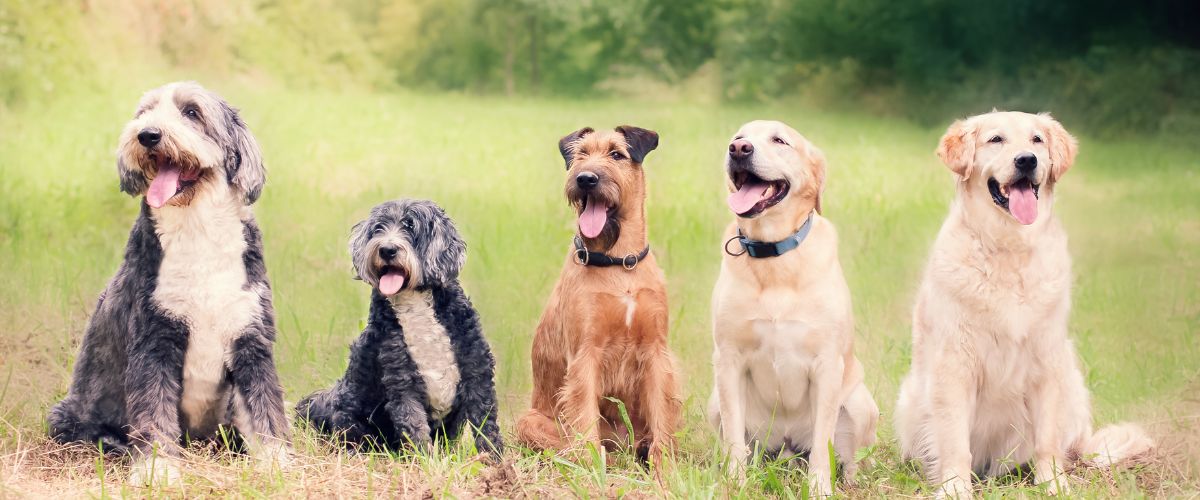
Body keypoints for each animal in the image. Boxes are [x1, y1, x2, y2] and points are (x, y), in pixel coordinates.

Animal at [47, 80, 292, 484]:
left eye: (192, 112)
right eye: (144, 113)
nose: (147, 135)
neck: (198, 230)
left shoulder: (250, 338)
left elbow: (265, 406)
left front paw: (276, 462)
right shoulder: (154, 340)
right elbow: (154, 412)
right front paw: (157, 470)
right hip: (66, 415)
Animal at [300, 199, 506, 455]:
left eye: (410, 226)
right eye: (378, 228)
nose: (387, 249)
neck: (414, 303)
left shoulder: (477, 370)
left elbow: (485, 423)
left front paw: (495, 459)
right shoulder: (402, 382)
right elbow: (414, 427)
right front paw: (426, 461)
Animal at [516, 123, 686, 467]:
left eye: (616, 154)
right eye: (581, 154)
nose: (585, 179)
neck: (619, 264)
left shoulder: (656, 352)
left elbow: (662, 420)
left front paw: (665, 469)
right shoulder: (586, 354)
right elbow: (584, 419)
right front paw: (592, 468)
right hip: (529, 421)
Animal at [700, 121, 883, 494]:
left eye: (779, 140)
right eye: (738, 136)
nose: (738, 149)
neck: (774, 256)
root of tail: (786, 447)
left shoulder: (827, 364)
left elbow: (823, 445)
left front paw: (820, 489)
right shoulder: (728, 358)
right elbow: (734, 440)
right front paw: (734, 484)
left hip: (860, 404)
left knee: (852, 457)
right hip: (715, 404)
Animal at [902, 110, 1152, 494]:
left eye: (1037, 140)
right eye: (996, 139)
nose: (1026, 160)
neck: (1009, 247)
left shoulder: (1046, 361)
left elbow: (1047, 441)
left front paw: (1056, 486)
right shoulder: (954, 363)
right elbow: (955, 441)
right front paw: (956, 488)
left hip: (1072, 384)